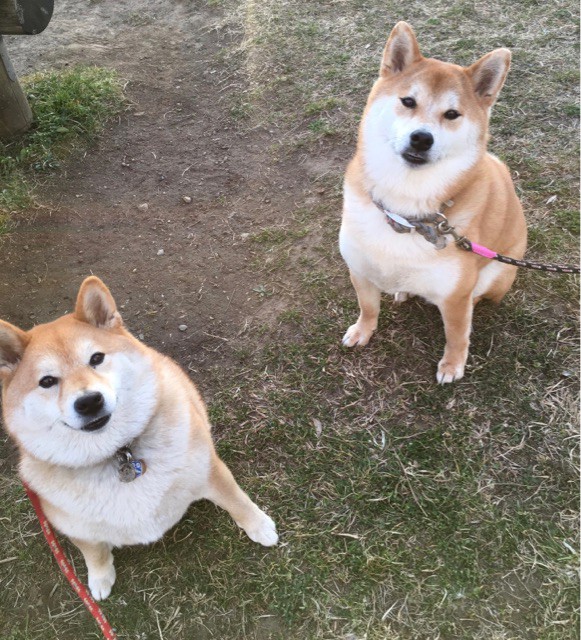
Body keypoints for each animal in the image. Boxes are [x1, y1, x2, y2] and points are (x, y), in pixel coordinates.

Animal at [0, 278, 276, 604]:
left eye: (96, 358)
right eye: (47, 381)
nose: (89, 401)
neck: (117, 452)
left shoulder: (210, 471)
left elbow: (237, 501)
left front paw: (259, 526)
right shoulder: (73, 526)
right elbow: (93, 551)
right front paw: (99, 577)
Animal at [340, 21, 524, 380]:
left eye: (452, 114)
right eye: (408, 101)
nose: (422, 138)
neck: (405, 209)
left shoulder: (455, 295)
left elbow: (457, 333)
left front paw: (452, 364)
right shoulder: (360, 268)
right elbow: (368, 307)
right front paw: (363, 330)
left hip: (497, 272)